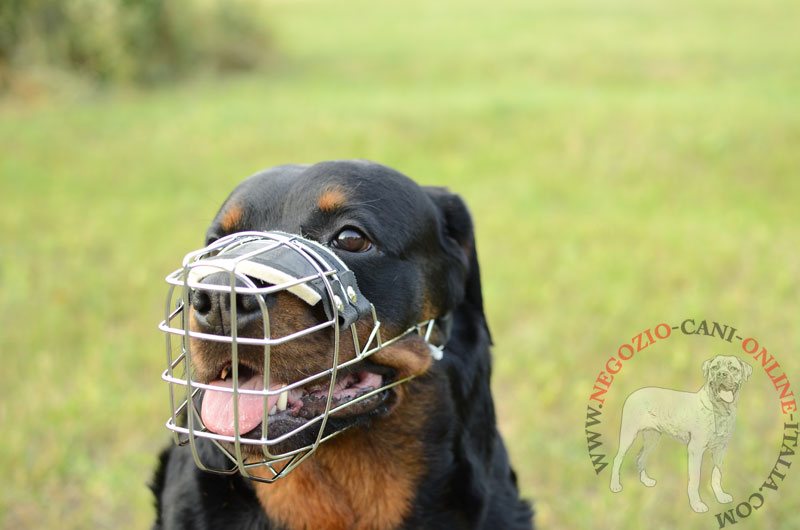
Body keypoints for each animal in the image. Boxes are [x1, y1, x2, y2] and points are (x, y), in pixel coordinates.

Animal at [612, 352, 752, 510]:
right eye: (714, 367)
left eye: (733, 368)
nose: (721, 374)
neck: (720, 410)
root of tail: (633, 393)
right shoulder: (695, 449)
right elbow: (695, 480)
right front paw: (697, 505)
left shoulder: (720, 450)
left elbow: (716, 475)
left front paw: (720, 496)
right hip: (628, 434)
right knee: (618, 458)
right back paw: (615, 486)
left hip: (652, 438)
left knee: (640, 458)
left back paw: (646, 481)